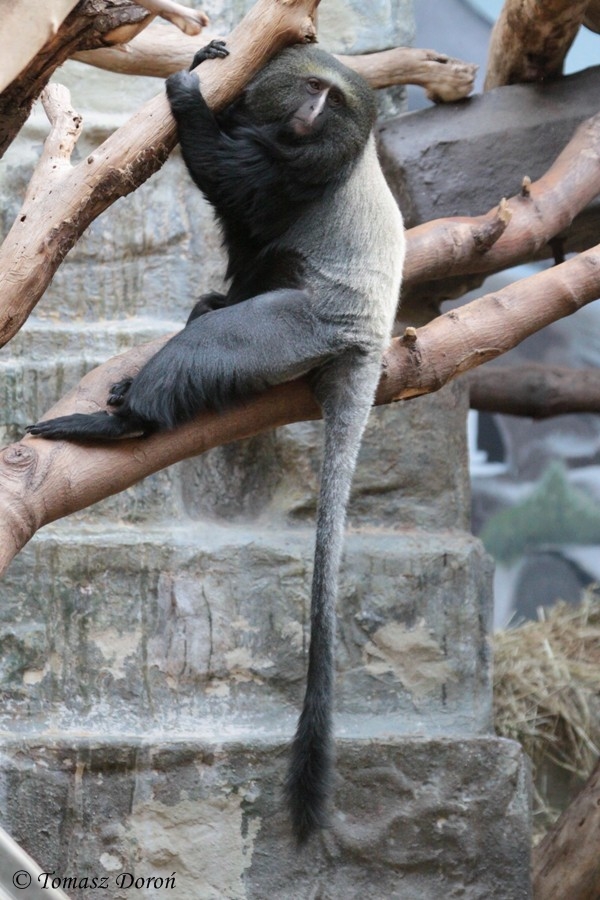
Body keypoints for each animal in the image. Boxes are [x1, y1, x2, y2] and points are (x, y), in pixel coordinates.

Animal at [26, 41, 405, 842]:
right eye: (312, 87)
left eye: (332, 99)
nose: (311, 112)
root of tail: (368, 341)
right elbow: (241, 224)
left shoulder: (296, 171)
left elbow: (234, 183)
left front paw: (186, 89)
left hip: (296, 330)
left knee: (216, 342)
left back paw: (126, 418)